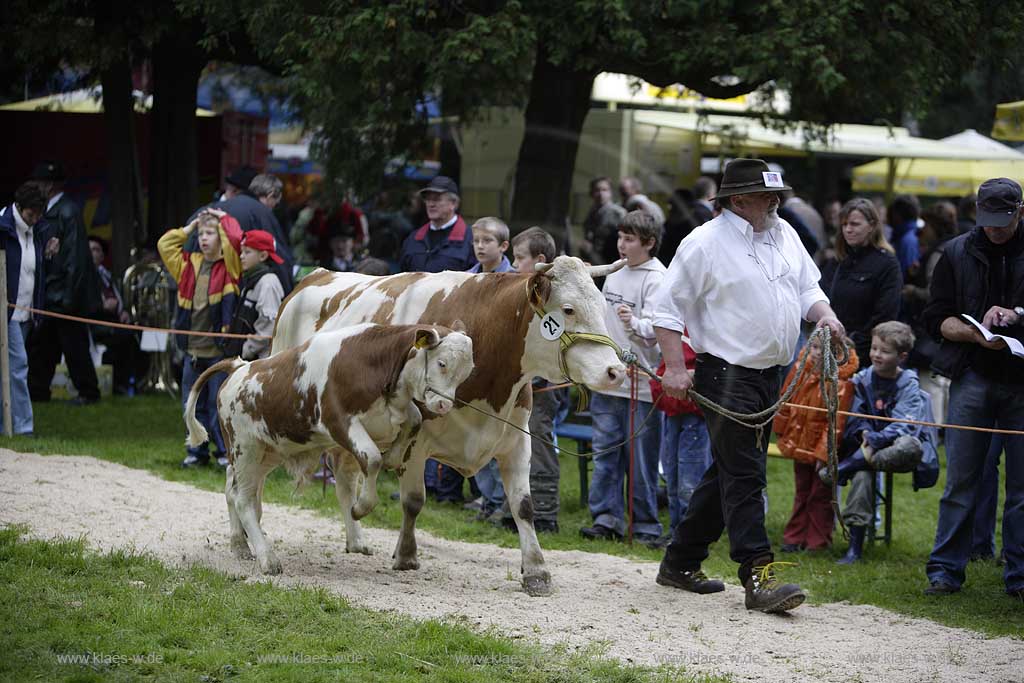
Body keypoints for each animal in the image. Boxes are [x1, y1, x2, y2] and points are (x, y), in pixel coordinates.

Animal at [183, 323, 471, 573]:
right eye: (442, 363)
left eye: (466, 373)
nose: (444, 405)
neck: (373, 362)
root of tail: (240, 366)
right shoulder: (339, 421)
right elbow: (372, 459)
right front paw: (360, 507)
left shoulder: (389, 414)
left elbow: (415, 419)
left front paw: (395, 455)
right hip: (246, 449)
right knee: (242, 499)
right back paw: (267, 558)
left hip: (266, 452)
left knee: (233, 488)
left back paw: (240, 544)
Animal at [270, 255, 622, 593]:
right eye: (568, 309)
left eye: (602, 307)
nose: (615, 371)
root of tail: (316, 275)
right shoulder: (415, 440)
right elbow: (414, 501)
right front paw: (406, 556)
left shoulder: (517, 439)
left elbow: (523, 505)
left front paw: (536, 571)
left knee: (345, 475)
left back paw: (356, 539)